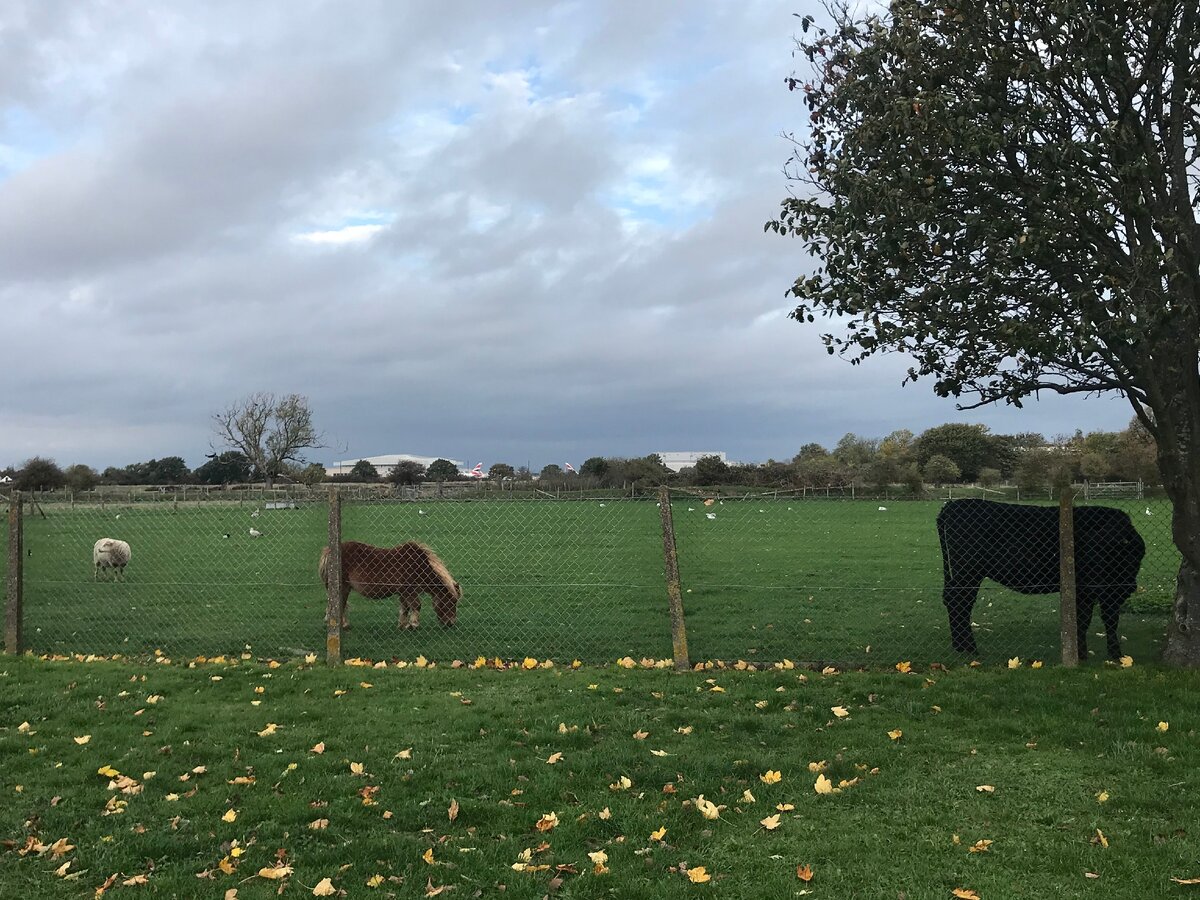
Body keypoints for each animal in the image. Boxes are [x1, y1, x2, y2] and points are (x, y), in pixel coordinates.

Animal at [319, 540, 458, 628]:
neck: (419, 566)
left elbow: (405, 608)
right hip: (343, 587)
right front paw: (414, 624)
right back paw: (343, 624)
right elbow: (416, 606)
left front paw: (403, 625)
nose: (450, 624)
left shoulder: (403, 593)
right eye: (450, 602)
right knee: (340, 604)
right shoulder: (409, 591)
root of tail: (328, 551)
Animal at [936, 501, 1142, 662]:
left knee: (956, 600)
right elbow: (1096, 620)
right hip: (968, 571)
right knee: (959, 601)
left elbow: (1094, 620)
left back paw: (960, 646)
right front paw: (1104, 654)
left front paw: (1096, 654)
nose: (1130, 586)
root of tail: (952, 505)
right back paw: (968, 647)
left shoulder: (1099, 591)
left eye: (1137, 557)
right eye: (1108, 544)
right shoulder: (1099, 590)